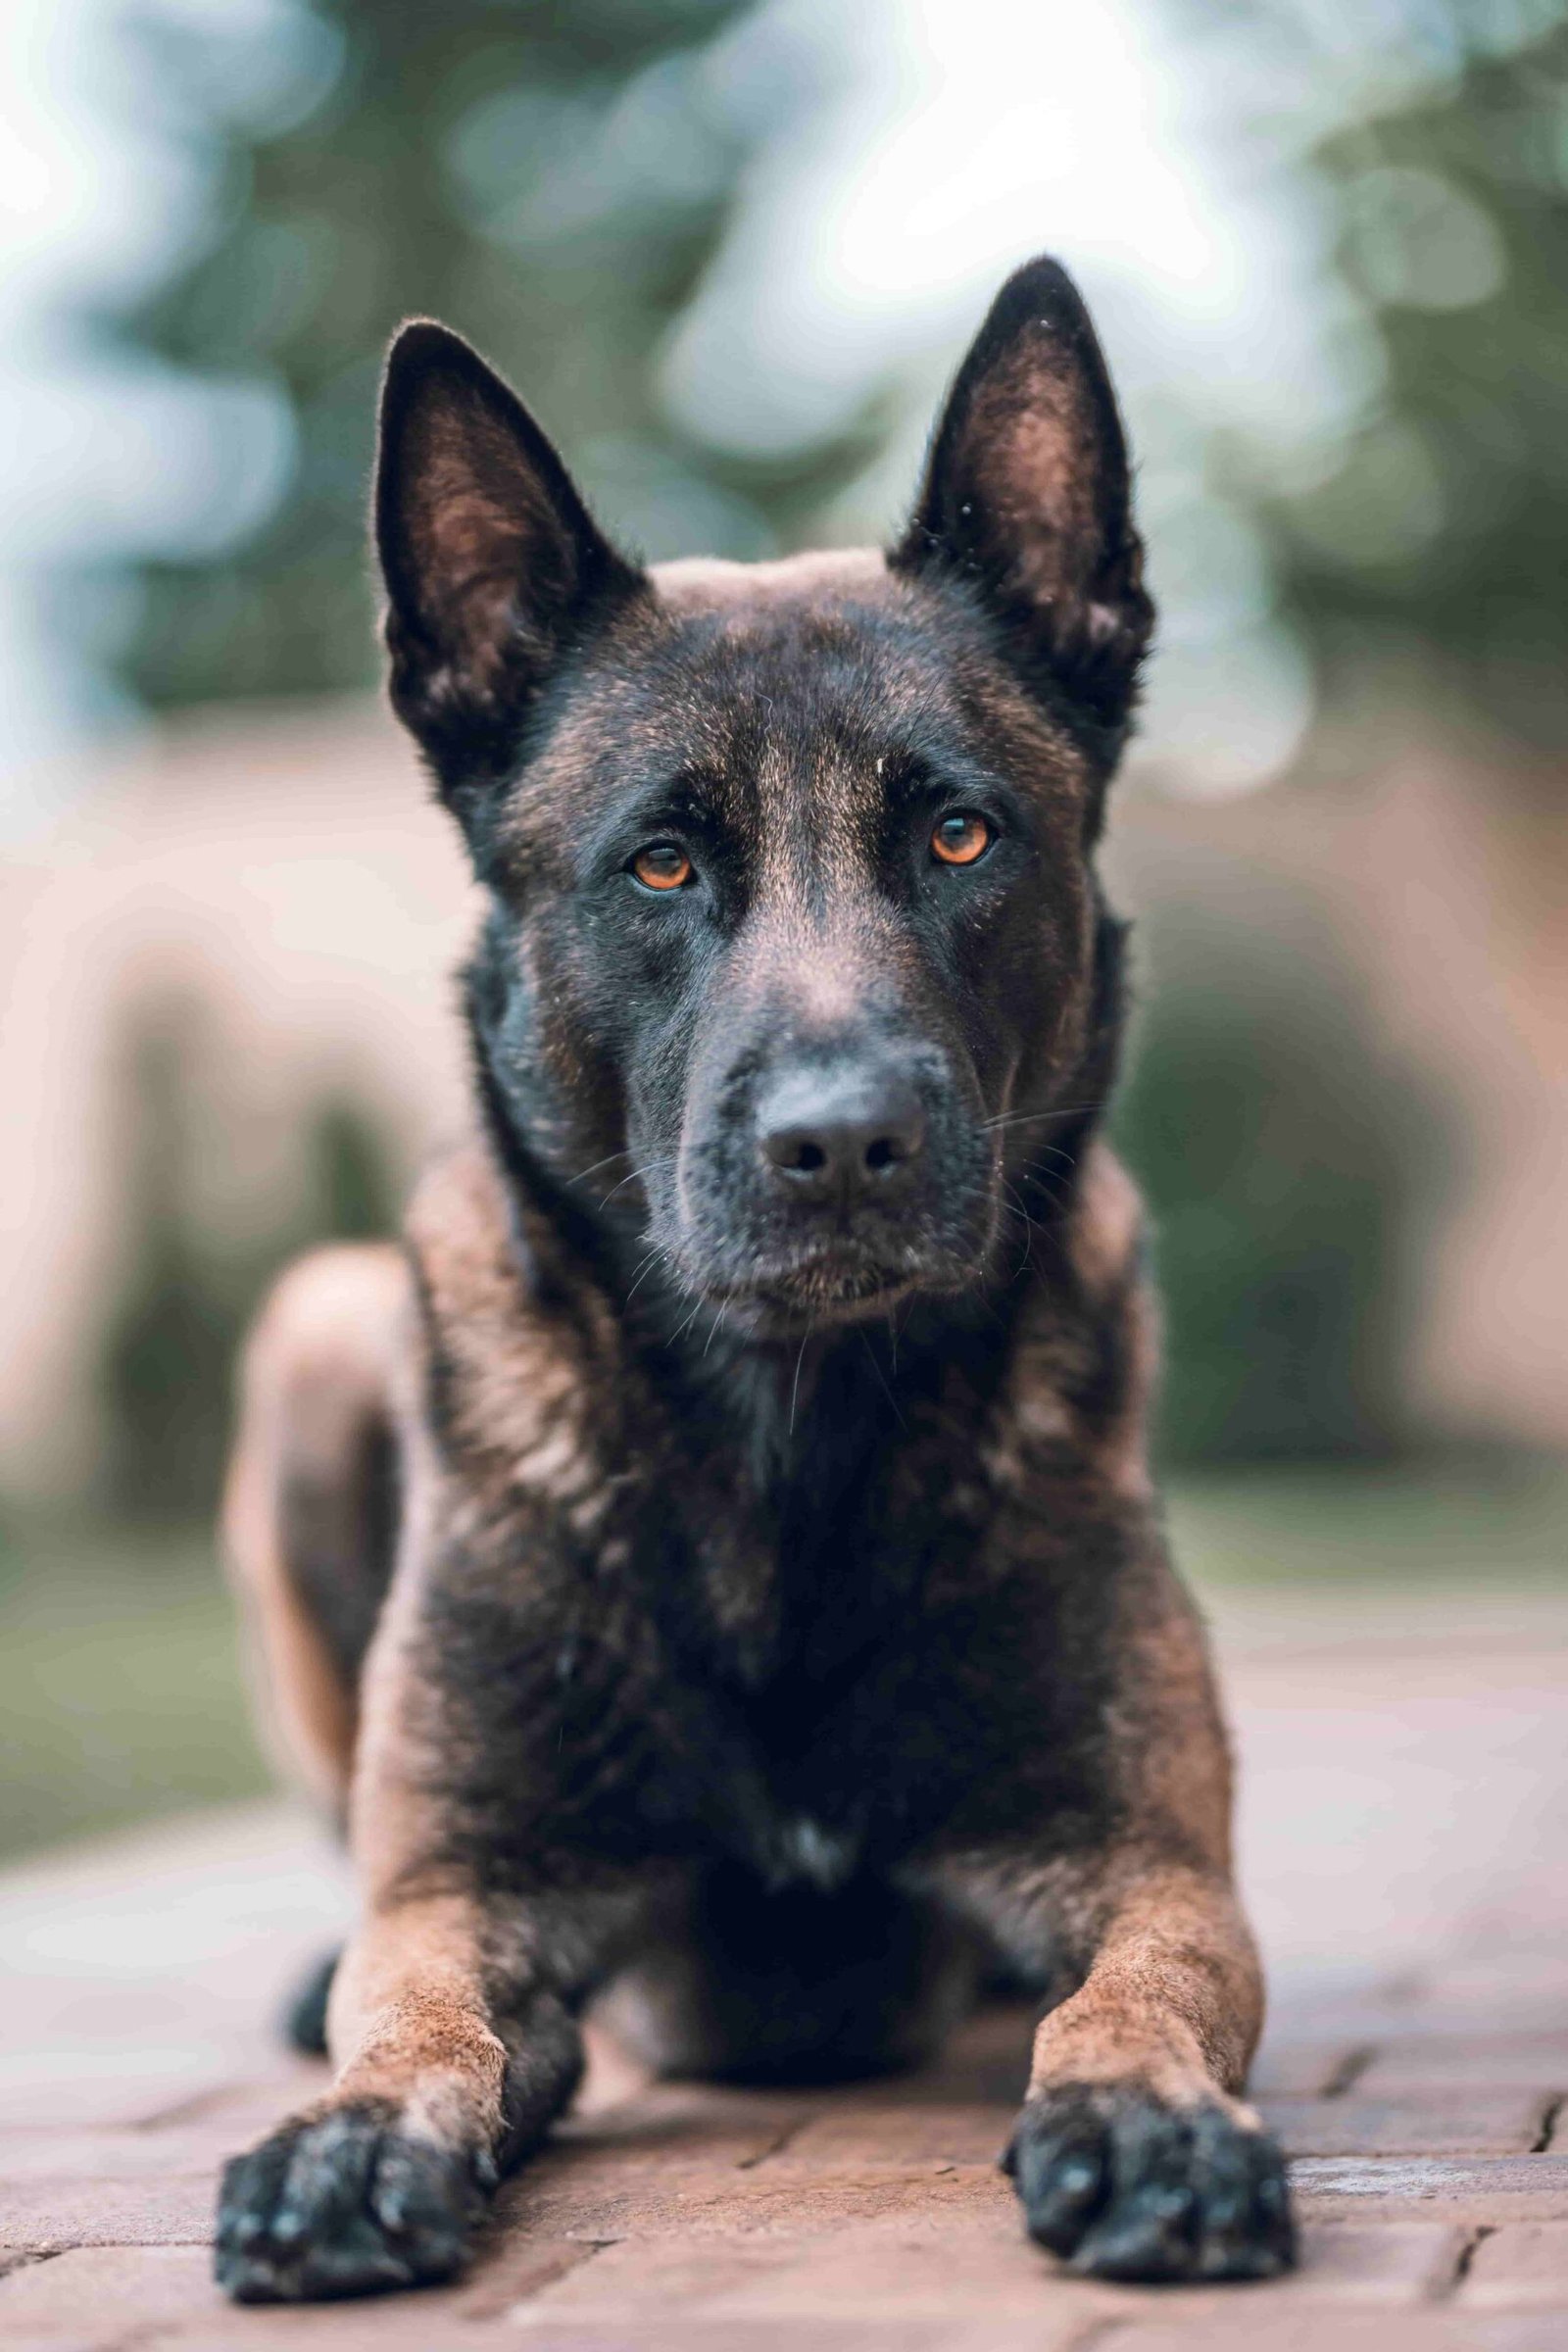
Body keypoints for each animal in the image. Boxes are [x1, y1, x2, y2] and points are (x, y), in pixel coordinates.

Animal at [215, 257, 1298, 2295]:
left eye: (959, 832)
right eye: (659, 866)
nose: (841, 1143)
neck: (788, 1448)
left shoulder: (1147, 1857)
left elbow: (1135, 1991)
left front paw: (1146, 2114)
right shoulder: (469, 1884)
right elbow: (415, 2008)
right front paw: (352, 2132)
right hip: (313, 1339)